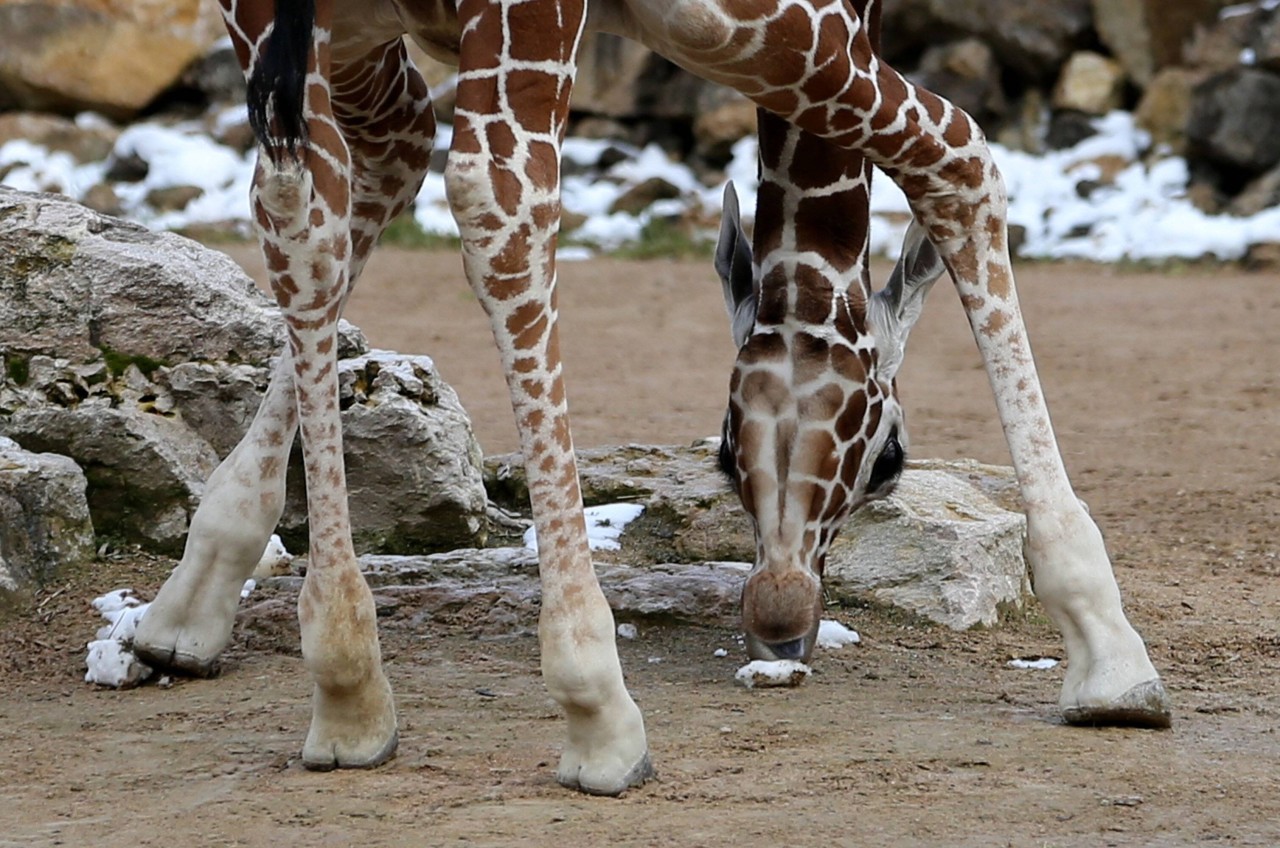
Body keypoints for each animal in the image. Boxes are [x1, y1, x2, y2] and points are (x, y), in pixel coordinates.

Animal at [124, 0, 1172, 799]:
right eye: (892, 463)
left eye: (720, 455)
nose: (782, 624)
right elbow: (962, 156)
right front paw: (1108, 651)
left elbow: (364, 179)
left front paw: (196, 597)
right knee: (500, 201)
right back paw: (597, 710)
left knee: (304, 191)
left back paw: (345, 687)